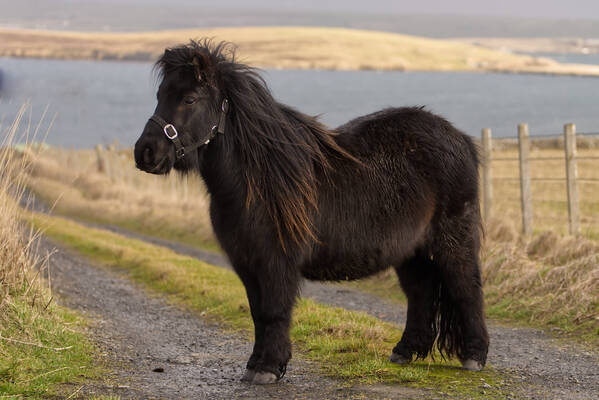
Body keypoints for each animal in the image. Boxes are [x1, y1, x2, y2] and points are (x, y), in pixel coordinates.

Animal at [134, 39, 490, 384]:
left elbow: (274, 311)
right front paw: (256, 365)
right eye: (159, 95)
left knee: (466, 288)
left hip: (453, 242)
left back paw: (474, 357)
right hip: (410, 252)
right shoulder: (247, 264)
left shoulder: (275, 263)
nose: (145, 152)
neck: (257, 179)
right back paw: (405, 351)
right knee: (421, 292)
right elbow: (257, 313)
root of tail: (461, 139)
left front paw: (269, 368)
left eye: (189, 99)